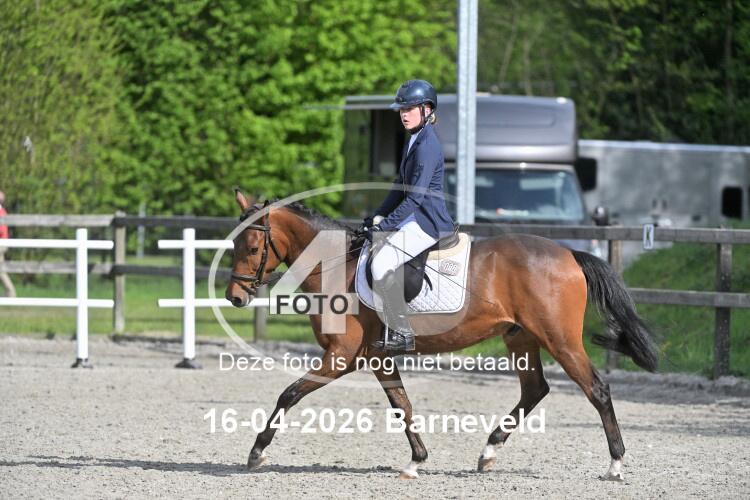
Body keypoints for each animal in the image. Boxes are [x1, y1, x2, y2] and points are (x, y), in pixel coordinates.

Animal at [225, 190, 659, 480]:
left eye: (252, 246)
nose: (234, 297)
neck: (336, 266)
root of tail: (569, 254)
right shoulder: (376, 356)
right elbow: (402, 405)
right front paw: (416, 460)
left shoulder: (341, 354)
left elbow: (289, 394)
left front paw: (257, 452)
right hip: (520, 338)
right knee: (535, 389)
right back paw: (488, 453)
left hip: (560, 340)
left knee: (596, 389)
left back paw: (615, 464)